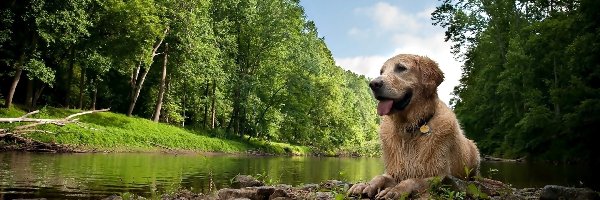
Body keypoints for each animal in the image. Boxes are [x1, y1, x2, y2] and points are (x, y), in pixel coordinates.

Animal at [350, 54, 480, 199]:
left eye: (401, 68)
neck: (410, 128)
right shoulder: (395, 171)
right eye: (381, 72)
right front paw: (365, 185)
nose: (373, 84)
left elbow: (413, 180)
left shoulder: (439, 175)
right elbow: (379, 177)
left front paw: (394, 190)